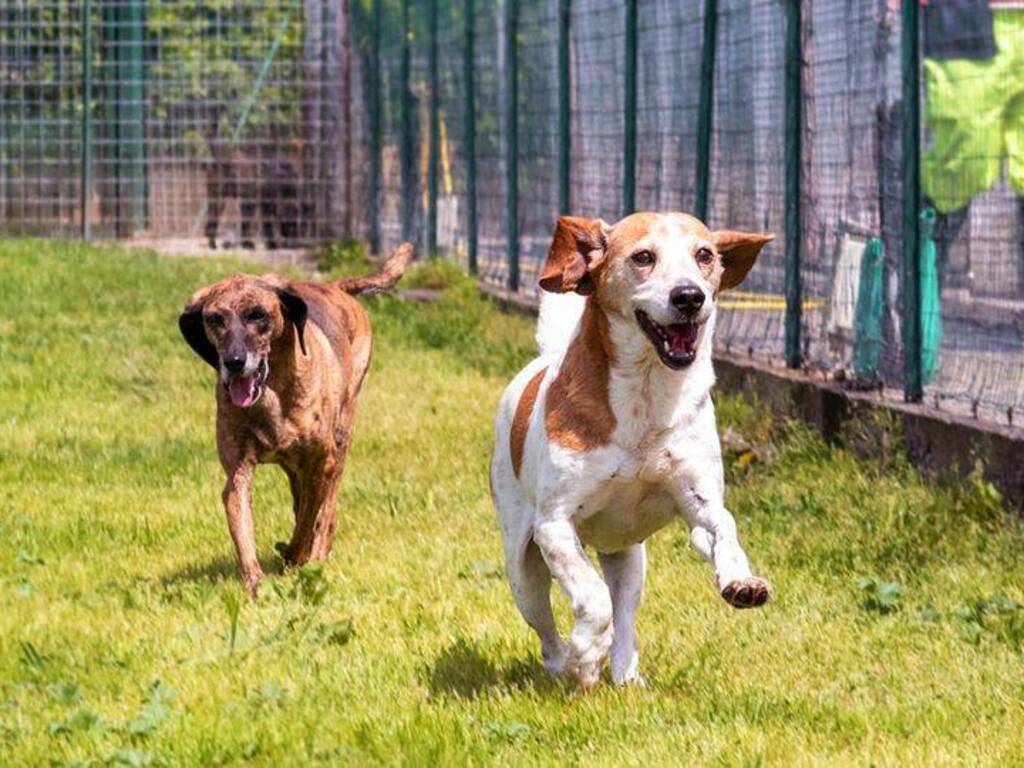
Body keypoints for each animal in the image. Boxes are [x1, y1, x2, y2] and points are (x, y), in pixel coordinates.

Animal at [179, 243, 411, 593]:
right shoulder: (238, 472)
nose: (233, 362)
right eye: (215, 319)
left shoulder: (322, 462)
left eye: (258, 314)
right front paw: (256, 586)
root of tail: (334, 287)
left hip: (341, 439)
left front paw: (297, 556)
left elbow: (308, 518)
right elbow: (243, 529)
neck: (273, 393)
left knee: (326, 510)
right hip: (296, 466)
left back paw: (317, 552)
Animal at [491, 211, 770, 692]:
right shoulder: (554, 526)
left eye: (705, 255)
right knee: (548, 629)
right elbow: (592, 599)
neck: (647, 396)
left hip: (629, 560)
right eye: (643, 257)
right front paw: (586, 654)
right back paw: (567, 664)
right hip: (522, 568)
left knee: (624, 616)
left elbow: (722, 527)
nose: (690, 296)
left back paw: (625, 676)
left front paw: (740, 579)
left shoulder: (698, 499)